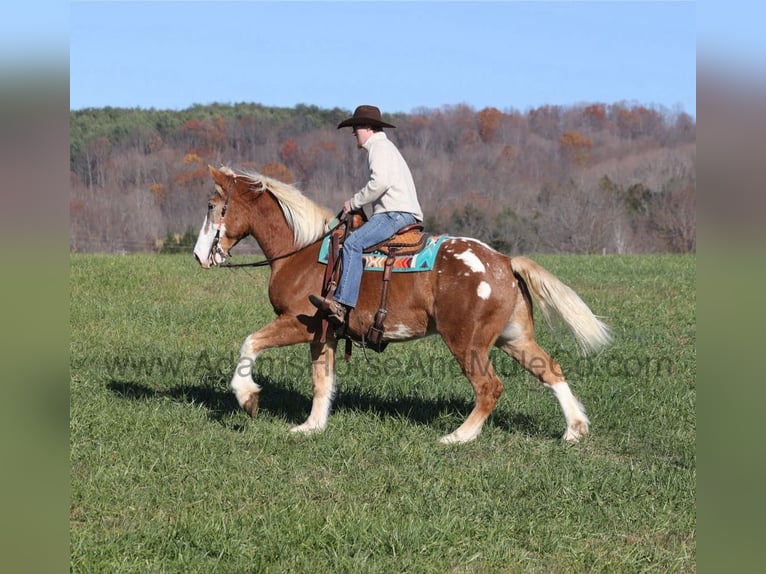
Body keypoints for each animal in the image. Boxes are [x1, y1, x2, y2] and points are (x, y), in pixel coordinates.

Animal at [193, 165, 611, 444]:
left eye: (213, 206)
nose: (199, 255)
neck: (304, 251)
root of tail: (504, 262)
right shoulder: (323, 333)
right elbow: (322, 380)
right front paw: (311, 426)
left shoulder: (298, 322)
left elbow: (250, 343)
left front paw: (248, 397)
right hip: (514, 338)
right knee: (550, 370)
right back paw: (574, 430)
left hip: (467, 343)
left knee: (490, 387)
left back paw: (458, 437)